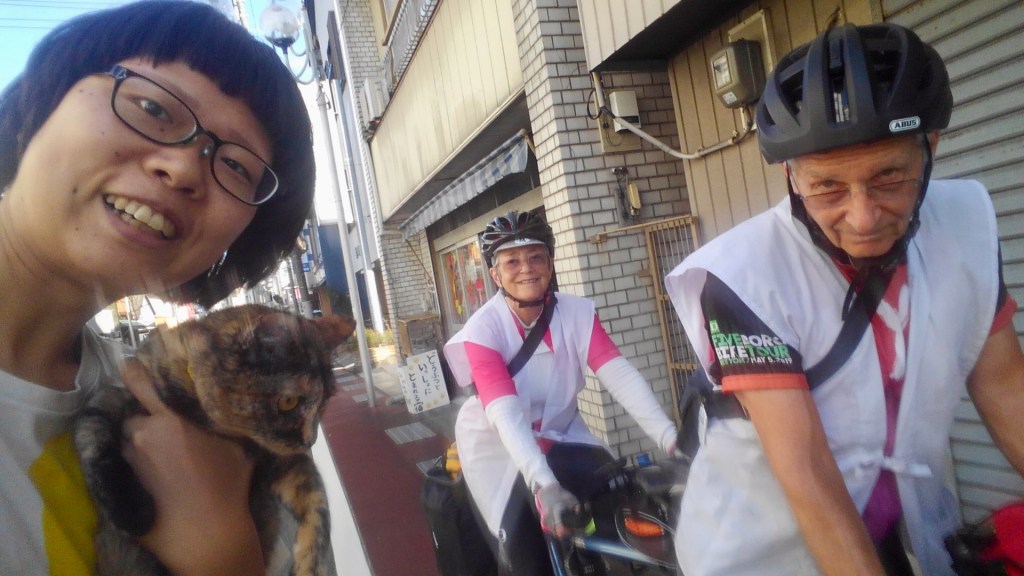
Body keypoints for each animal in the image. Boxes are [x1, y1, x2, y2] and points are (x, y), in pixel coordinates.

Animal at [73, 303, 357, 576]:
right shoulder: (106, 400)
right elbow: (96, 447)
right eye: (289, 402)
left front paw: (311, 566)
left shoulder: (282, 461)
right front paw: (132, 512)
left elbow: (319, 506)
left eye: (325, 401)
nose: (311, 440)